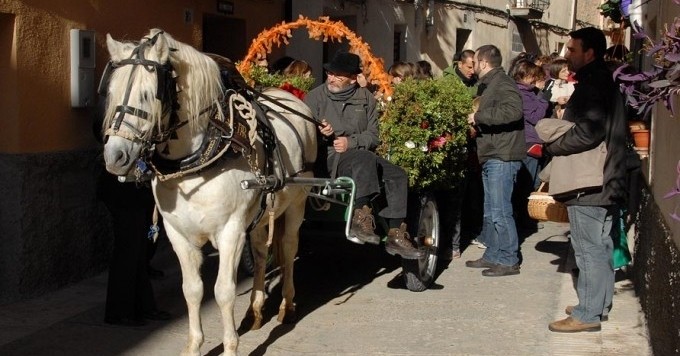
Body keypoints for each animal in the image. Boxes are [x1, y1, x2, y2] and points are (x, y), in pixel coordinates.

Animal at [100, 29, 316, 354]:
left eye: (148, 95)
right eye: (111, 92)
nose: (115, 156)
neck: (198, 163)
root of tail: (290, 95)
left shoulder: (230, 231)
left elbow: (224, 291)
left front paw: (230, 347)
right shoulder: (178, 233)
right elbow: (192, 290)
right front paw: (194, 345)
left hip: (297, 203)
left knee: (289, 249)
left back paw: (286, 306)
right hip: (259, 215)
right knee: (261, 253)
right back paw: (255, 309)